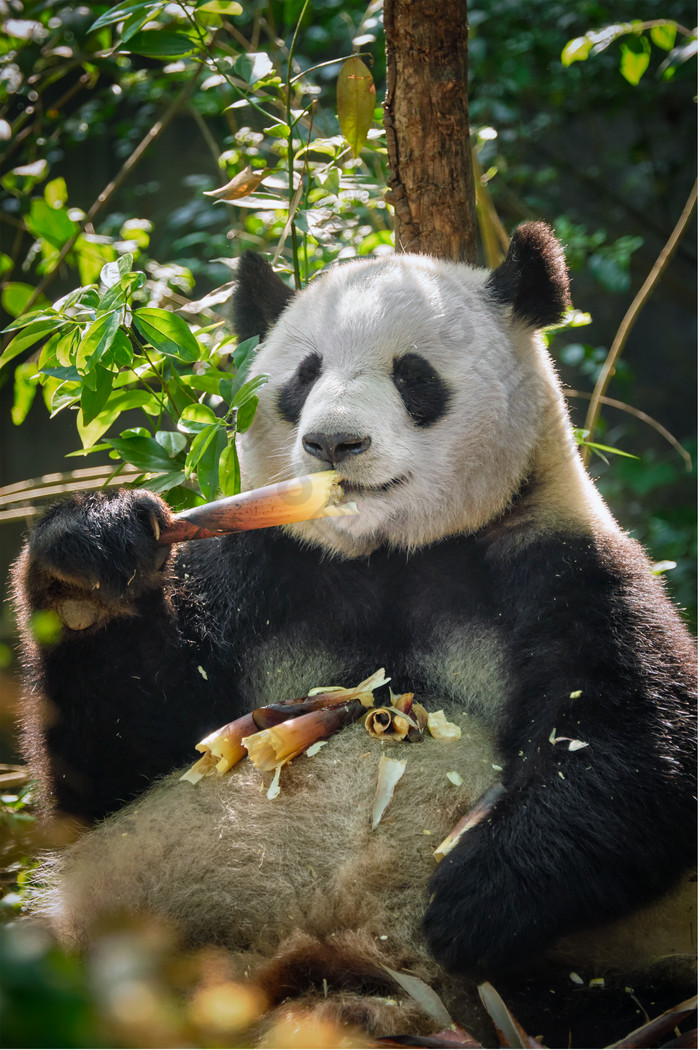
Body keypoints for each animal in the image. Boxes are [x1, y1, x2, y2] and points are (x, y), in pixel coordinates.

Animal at [10, 223, 696, 1050]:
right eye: (303, 376)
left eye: (413, 375)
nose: (333, 445)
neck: (388, 553)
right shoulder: (257, 574)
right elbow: (114, 768)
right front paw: (91, 563)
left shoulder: (556, 560)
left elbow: (636, 742)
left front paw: (472, 899)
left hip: (620, 956)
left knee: (620, 995)